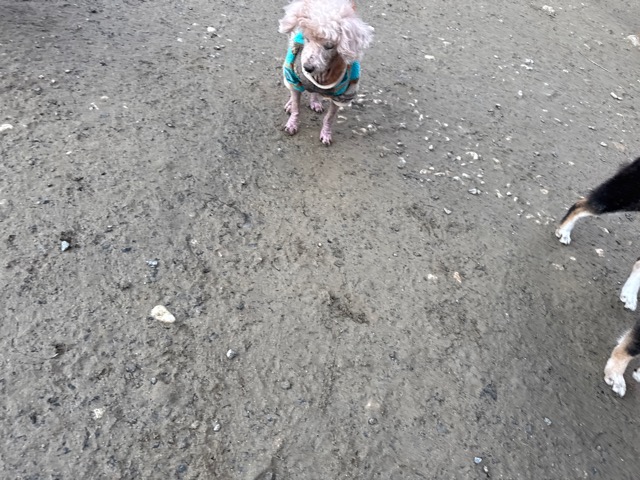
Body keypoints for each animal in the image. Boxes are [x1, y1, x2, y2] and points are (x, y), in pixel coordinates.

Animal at [278, 0, 374, 145]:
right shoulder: (293, 76)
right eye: (306, 39)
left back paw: (315, 101)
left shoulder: (342, 97)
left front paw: (326, 133)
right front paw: (292, 123)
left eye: (329, 46)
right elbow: (296, 108)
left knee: (314, 92)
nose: (307, 67)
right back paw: (291, 102)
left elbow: (329, 118)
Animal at [555, 156, 640, 396]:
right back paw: (565, 229)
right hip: (625, 194)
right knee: (582, 204)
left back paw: (629, 293)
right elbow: (631, 346)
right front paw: (615, 374)